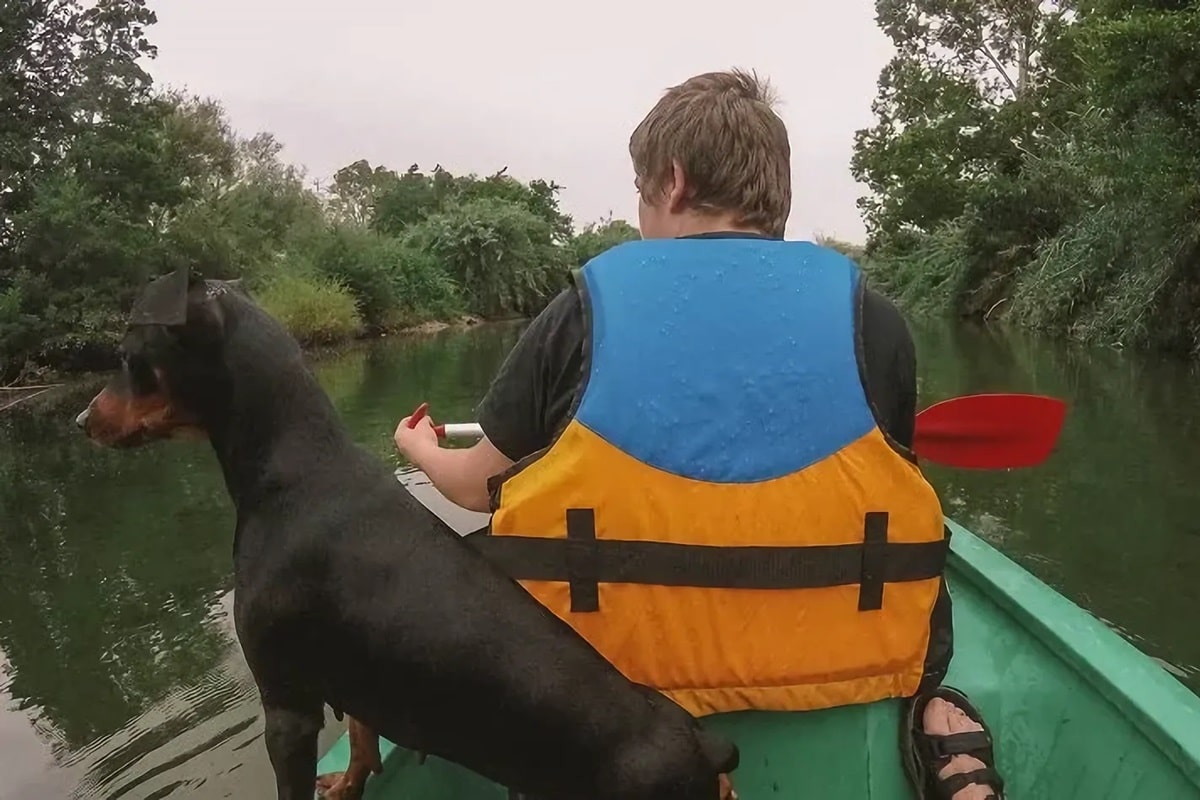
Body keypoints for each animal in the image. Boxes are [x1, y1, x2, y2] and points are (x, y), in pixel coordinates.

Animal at [75, 268, 734, 800]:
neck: (296, 469)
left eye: (128, 355)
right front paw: (348, 783)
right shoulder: (354, 673)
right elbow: (364, 736)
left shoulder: (286, 705)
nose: (82, 419)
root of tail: (705, 749)